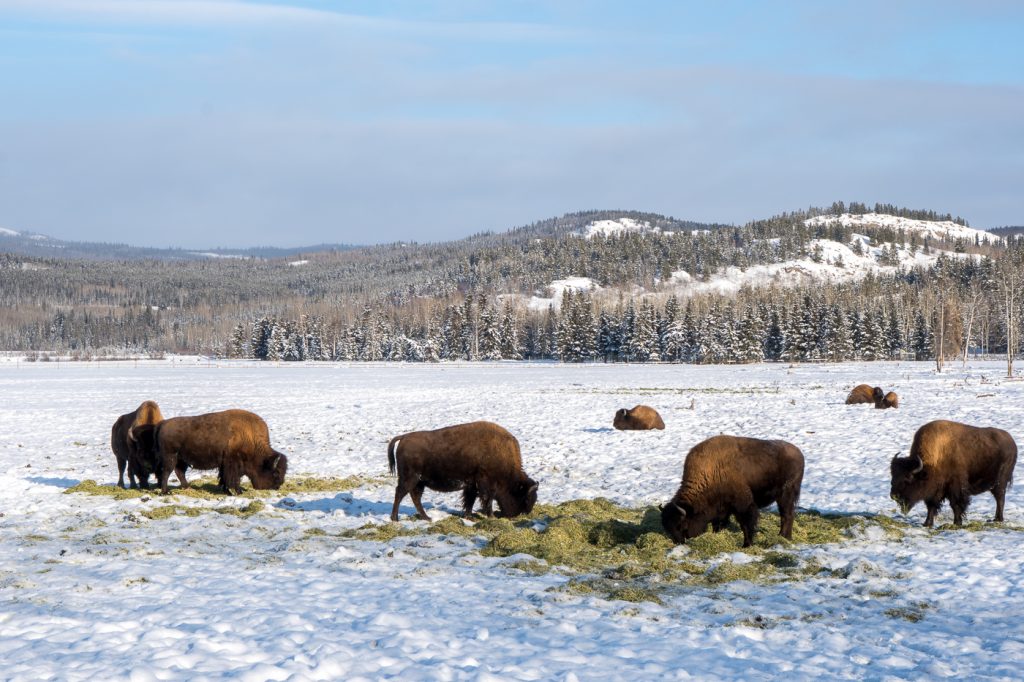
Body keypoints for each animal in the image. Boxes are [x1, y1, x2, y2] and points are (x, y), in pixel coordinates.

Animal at [131, 405, 288, 491]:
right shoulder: (232, 463)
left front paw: (226, 490)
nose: (277, 486)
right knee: (166, 473)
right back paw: (166, 491)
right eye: (276, 473)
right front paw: (237, 491)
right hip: (170, 457)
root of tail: (162, 424)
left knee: (179, 472)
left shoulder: (225, 464)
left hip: (181, 459)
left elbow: (224, 478)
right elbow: (233, 478)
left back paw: (187, 487)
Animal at [387, 419, 540, 520]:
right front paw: (491, 517)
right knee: (400, 493)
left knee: (415, 497)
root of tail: (404, 437)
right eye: (525, 499)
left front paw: (468, 516)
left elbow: (470, 500)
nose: (516, 515)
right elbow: (486, 499)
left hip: (419, 482)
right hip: (410, 479)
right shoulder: (485, 484)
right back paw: (395, 518)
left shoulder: (471, 485)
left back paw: (427, 517)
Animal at [659, 436, 802, 548]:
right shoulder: (721, 508)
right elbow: (719, 522)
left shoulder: (744, 505)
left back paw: (783, 536)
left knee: (787, 515)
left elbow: (746, 524)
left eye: (681, 525)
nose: (679, 542)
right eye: (667, 527)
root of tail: (799, 453)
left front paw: (747, 544)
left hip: (785, 495)